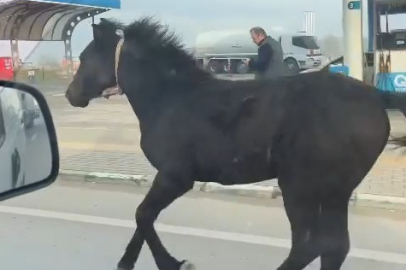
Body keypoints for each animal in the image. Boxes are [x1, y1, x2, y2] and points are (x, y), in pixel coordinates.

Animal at [65, 16, 406, 270]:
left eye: (83, 58)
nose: (71, 95)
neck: (170, 98)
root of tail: (376, 97)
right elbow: (143, 217)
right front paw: (127, 262)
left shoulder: (175, 176)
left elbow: (143, 214)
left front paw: (173, 263)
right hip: (336, 190)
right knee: (334, 246)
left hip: (299, 186)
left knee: (308, 244)